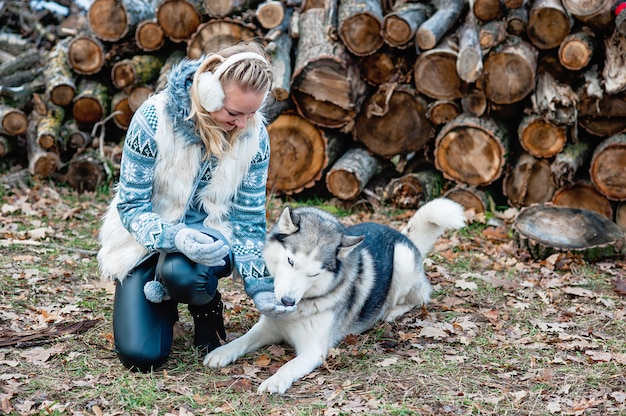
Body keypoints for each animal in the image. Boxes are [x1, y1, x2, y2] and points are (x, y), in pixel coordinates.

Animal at [202, 198, 466, 394]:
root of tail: (403, 235)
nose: (287, 301)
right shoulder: (267, 328)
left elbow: (289, 366)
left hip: (403, 259)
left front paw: (275, 380)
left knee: (420, 297)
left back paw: (392, 311)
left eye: (314, 273)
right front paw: (221, 352)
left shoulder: (314, 351)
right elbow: (242, 340)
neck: (302, 307)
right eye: (290, 261)